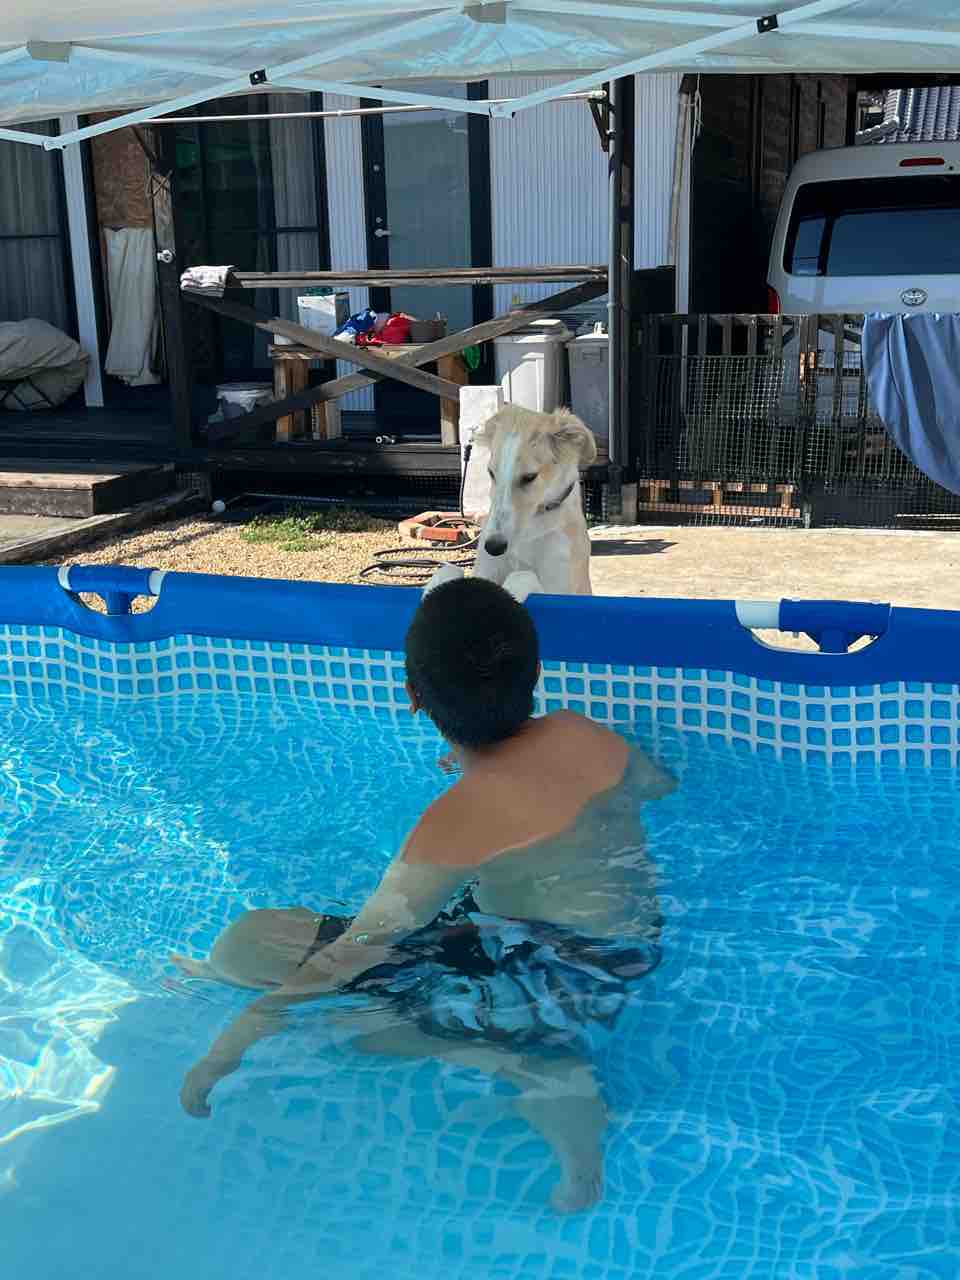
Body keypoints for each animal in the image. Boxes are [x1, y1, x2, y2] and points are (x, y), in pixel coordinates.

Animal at [427, 404, 597, 603]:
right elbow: (449, 569)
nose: (494, 547)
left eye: (530, 477)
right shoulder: (485, 571)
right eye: (491, 472)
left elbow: (523, 575)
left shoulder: (562, 588)